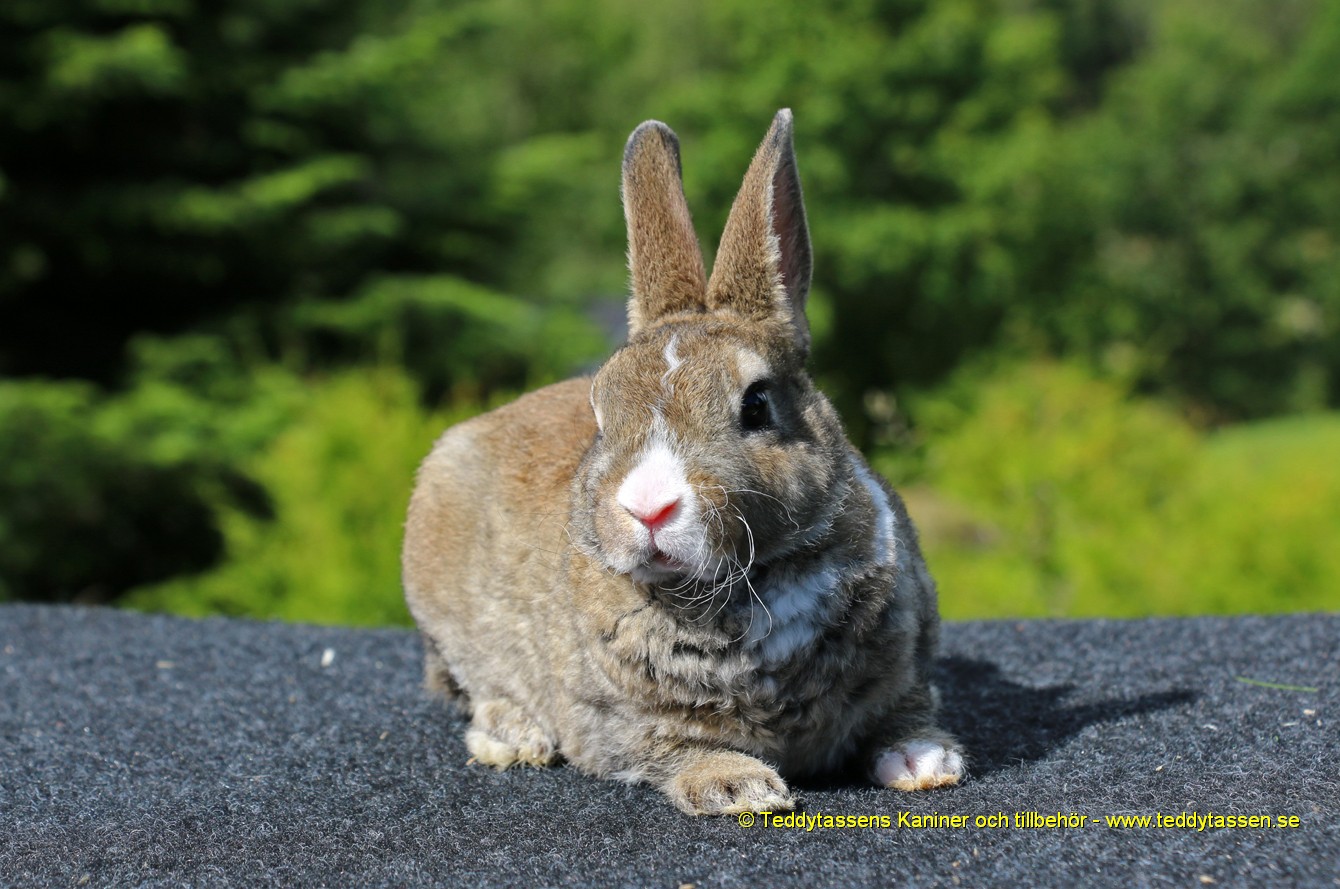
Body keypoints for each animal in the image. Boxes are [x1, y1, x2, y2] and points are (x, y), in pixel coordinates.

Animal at [399, 107, 964, 815]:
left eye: (757, 404)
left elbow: (902, 711)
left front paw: (925, 761)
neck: (747, 584)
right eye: (602, 415)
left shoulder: (910, 658)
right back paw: (515, 737)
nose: (648, 508)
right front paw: (741, 787)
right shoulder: (614, 722)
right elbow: (669, 749)